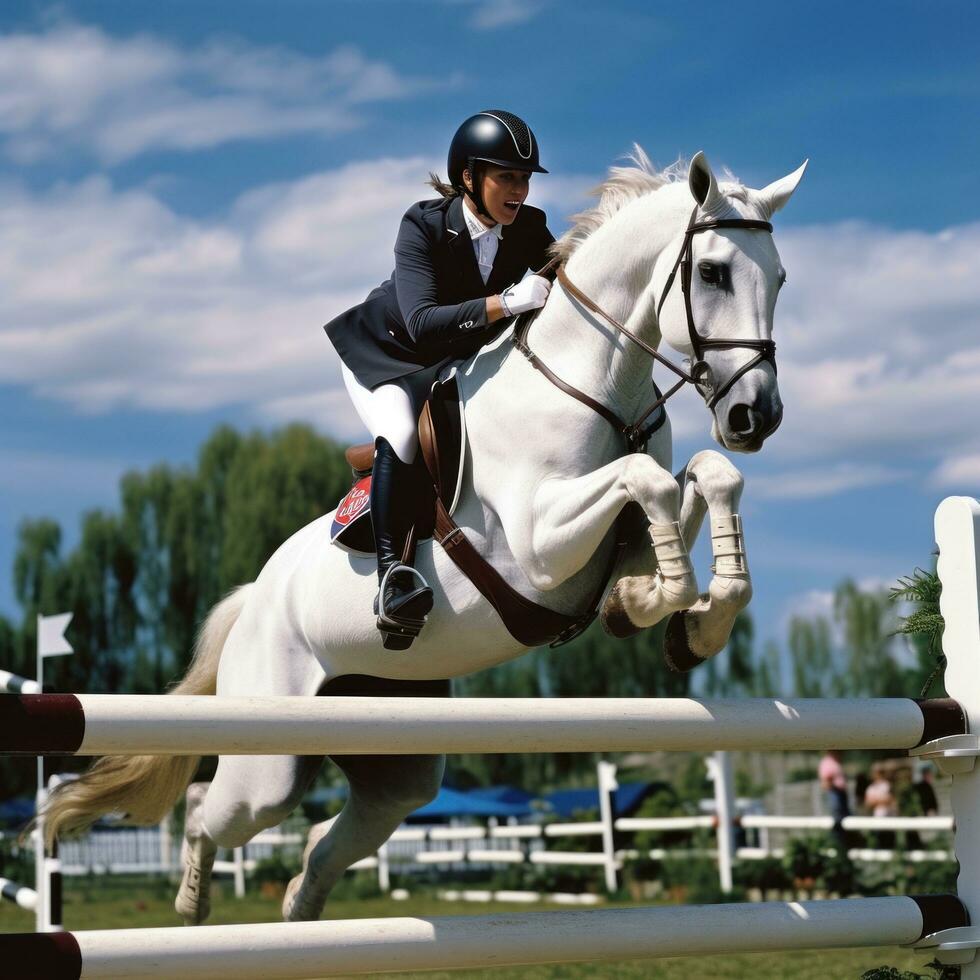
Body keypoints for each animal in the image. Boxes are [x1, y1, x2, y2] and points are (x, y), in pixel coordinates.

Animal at [42, 147, 804, 928]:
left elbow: (705, 478)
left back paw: (299, 911)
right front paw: (660, 602)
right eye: (712, 272)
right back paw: (192, 907)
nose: (755, 416)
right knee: (208, 809)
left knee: (334, 833)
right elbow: (649, 485)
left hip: (387, 739)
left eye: (778, 279)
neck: (593, 386)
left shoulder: (618, 523)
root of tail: (255, 599)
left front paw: (683, 619)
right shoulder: (539, 544)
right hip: (267, 759)